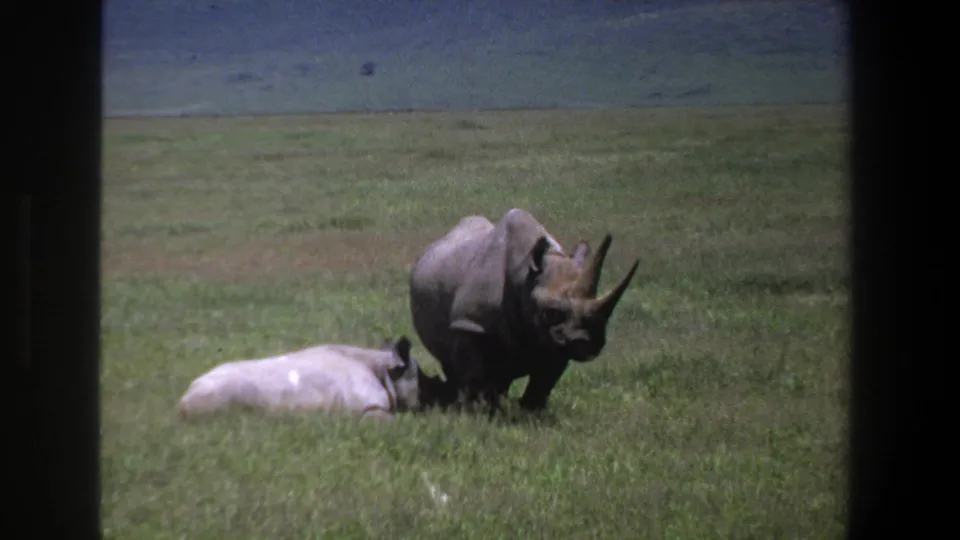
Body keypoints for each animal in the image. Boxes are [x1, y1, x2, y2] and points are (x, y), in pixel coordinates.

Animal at [177, 336, 448, 421]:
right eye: (425, 385)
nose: (442, 399)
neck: (387, 370)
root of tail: (183, 399)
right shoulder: (369, 407)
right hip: (217, 395)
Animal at [409, 208, 639, 416]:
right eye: (551, 313)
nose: (585, 342)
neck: (524, 277)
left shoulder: (556, 341)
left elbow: (544, 381)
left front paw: (532, 416)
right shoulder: (470, 324)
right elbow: (474, 373)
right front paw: (476, 414)